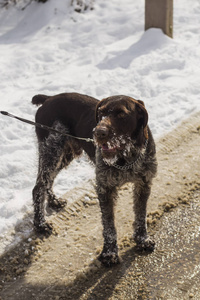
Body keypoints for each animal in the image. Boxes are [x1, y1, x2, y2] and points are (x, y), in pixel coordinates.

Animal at [32, 92, 157, 266]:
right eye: (101, 113)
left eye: (121, 114)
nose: (98, 133)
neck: (126, 157)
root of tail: (48, 98)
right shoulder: (105, 188)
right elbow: (109, 224)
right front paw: (109, 253)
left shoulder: (143, 184)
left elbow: (141, 215)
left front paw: (142, 239)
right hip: (51, 149)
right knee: (38, 187)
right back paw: (40, 224)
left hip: (65, 154)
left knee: (47, 181)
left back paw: (54, 201)